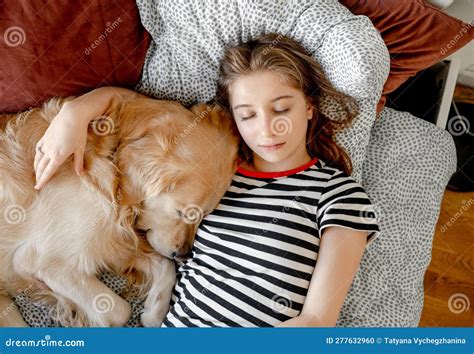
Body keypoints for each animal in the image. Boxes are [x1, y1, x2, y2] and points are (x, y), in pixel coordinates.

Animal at [0, 96, 237, 326]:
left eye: (204, 216)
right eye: (183, 213)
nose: (184, 254)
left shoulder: (116, 240)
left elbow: (164, 266)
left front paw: (154, 311)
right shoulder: (47, 262)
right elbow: (119, 311)